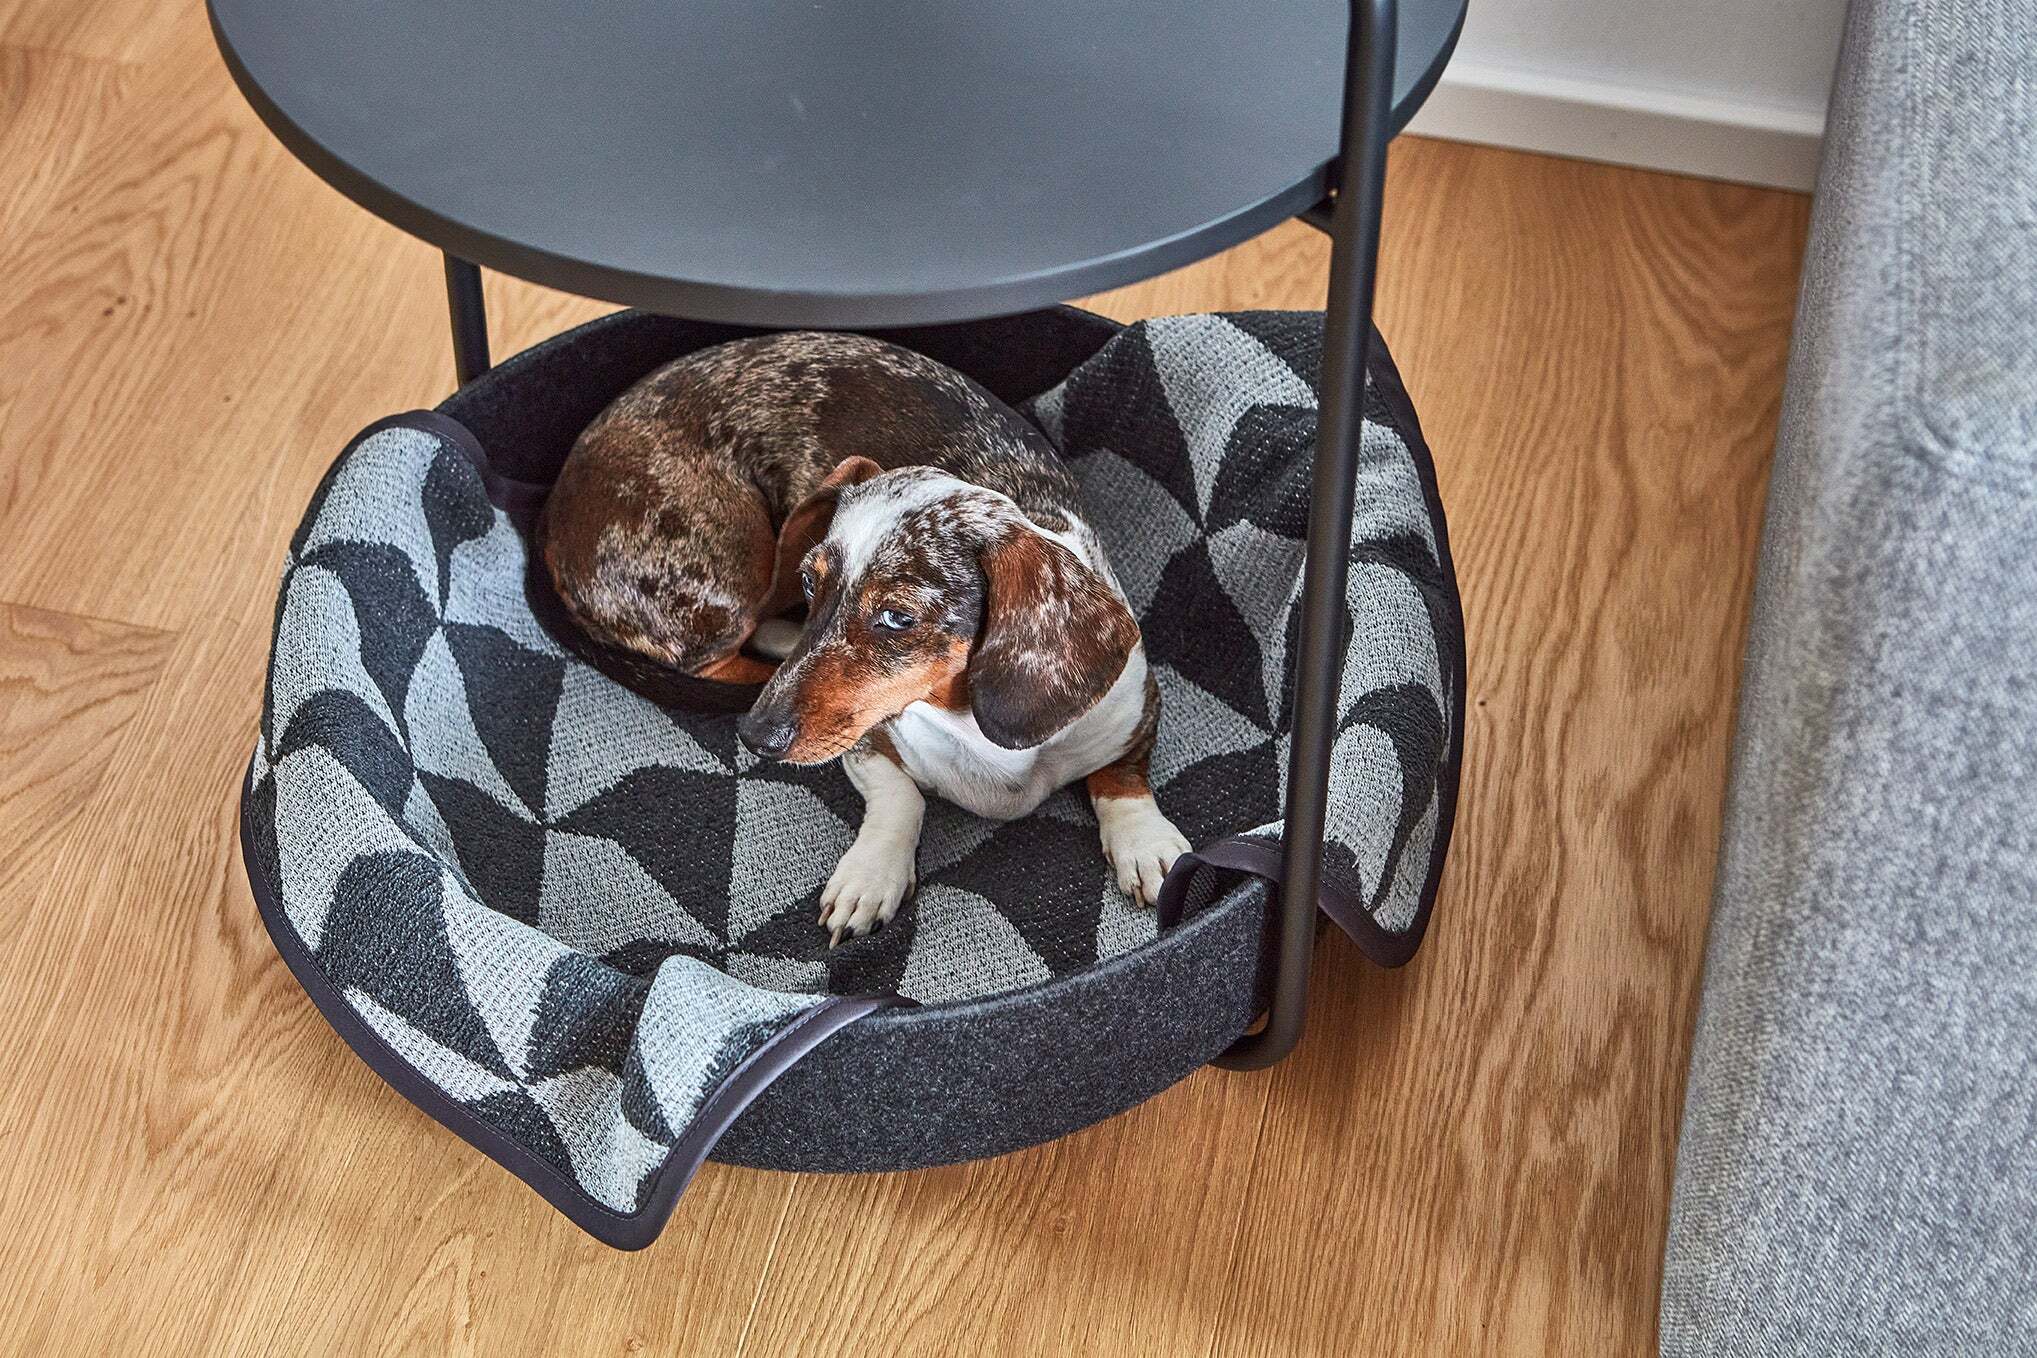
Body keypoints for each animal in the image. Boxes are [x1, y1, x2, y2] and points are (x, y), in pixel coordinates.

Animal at [541, 331, 1189, 943]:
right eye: (809, 580)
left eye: (897, 618)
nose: (755, 736)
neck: (969, 727)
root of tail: (551, 525)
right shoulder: (865, 741)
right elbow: (901, 796)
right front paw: (871, 877)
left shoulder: (1135, 703)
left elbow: (1123, 775)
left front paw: (1145, 841)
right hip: (731, 571)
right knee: (718, 657)